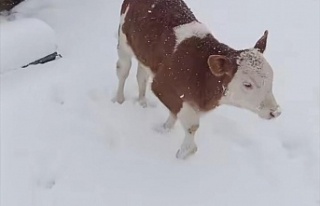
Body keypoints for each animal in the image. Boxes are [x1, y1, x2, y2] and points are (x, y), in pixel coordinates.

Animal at [113, 0, 282, 159]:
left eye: (272, 79)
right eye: (247, 84)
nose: (275, 111)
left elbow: (175, 114)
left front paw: (165, 129)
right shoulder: (162, 86)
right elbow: (191, 124)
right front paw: (184, 152)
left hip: (144, 53)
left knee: (141, 76)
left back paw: (142, 102)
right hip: (123, 40)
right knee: (123, 70)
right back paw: (119, 100)